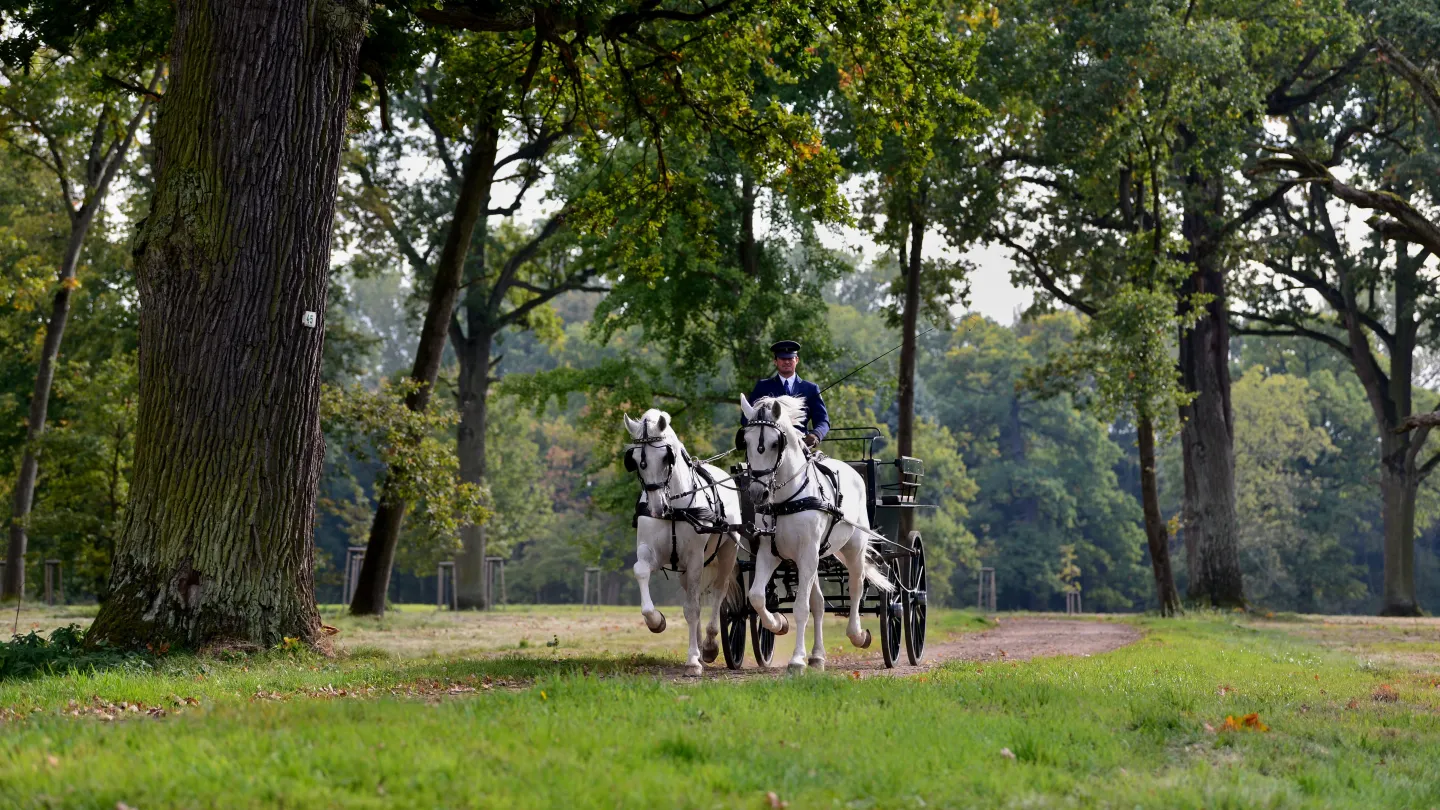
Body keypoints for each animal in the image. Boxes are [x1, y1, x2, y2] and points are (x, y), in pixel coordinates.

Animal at [624, 406, 743, 671]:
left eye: (666, 457)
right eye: (635, 461)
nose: (657, 507)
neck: (675, 508)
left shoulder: (695, 558)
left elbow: (693, 609)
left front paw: (693, 661)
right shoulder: (652, 552)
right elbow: (641, 571)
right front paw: (656, 621)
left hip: (727, 551)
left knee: (718, 592)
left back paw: (708, 646)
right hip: (684, 569)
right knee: (694, 594)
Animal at [737, 394, 892, 671]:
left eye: (775, 443)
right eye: (746, 441)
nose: (757, 493)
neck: (785, 502)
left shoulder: (807, 552)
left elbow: (801, 607)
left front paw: (797, 660)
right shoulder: (770, 552)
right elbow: (757, 597)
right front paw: (778, 623)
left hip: (852, 548)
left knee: (856, 586)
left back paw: (857, 634)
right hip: (814, 558)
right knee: (818, 604)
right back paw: (818, 656)